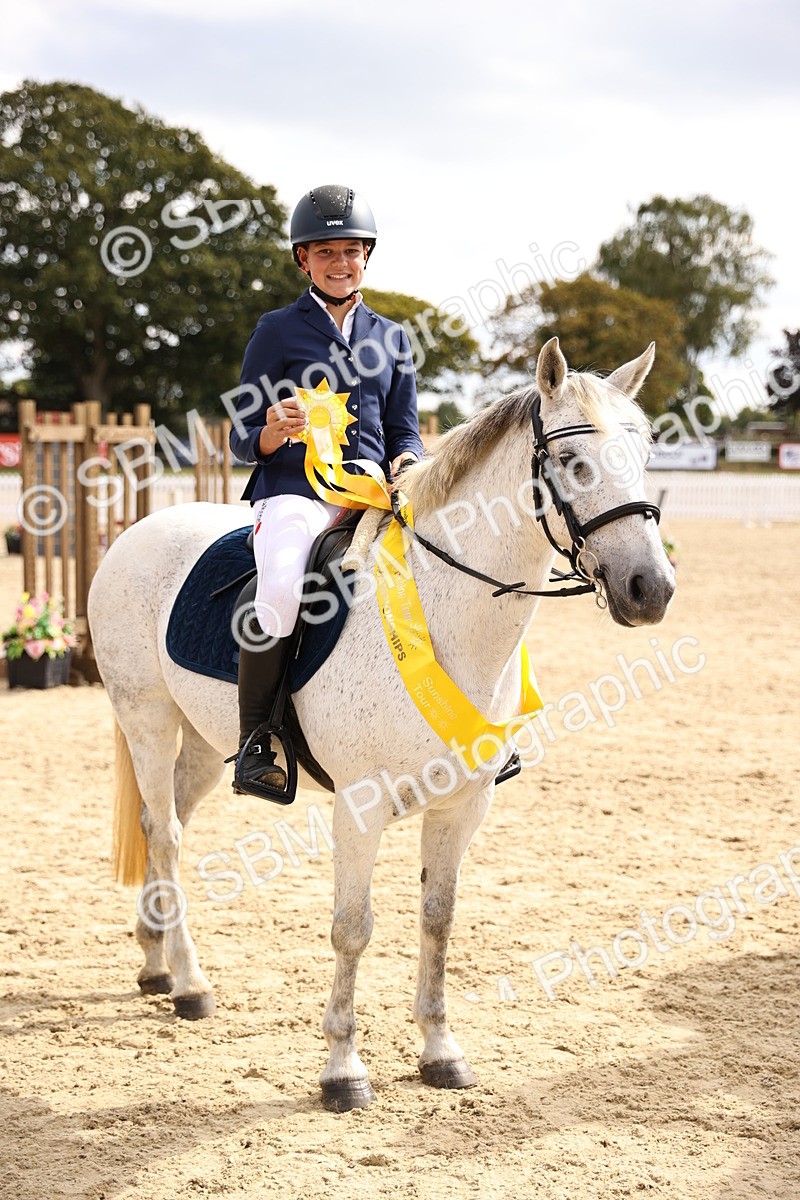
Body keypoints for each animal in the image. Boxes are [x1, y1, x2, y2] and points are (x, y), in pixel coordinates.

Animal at [88, 338, 675, 1112]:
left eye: (645, 454)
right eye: (574, 462)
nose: (652, 590)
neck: (447, 611)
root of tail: (140, 530)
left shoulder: (463, 806)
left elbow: (437, 920)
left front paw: (440, 1051)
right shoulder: (359, 808)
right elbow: (353, 930)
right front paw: (342, 1070)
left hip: (206, 741)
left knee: (171, 828)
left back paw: (155, 961)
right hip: (147, 718)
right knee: (165, 832)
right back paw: (188, 983)